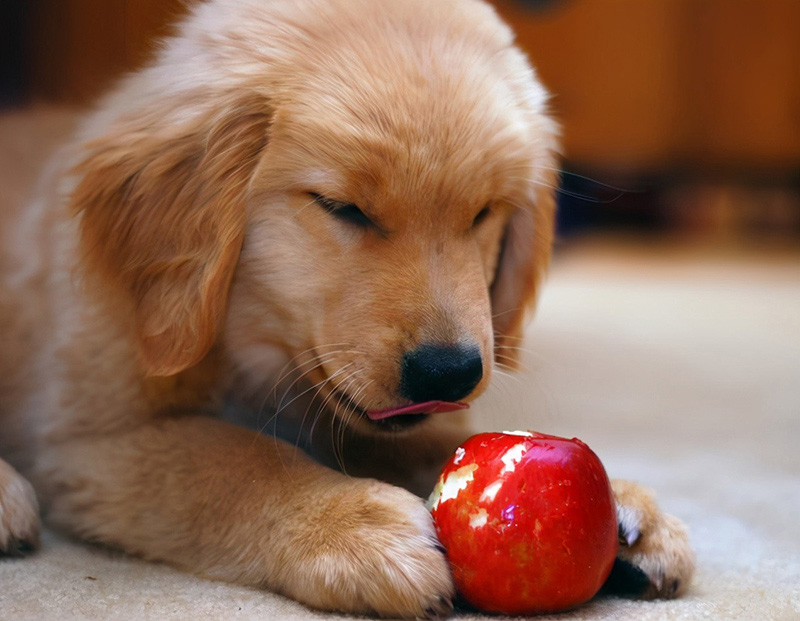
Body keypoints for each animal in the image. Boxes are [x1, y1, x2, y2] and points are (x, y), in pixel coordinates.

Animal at [0, 0, 692, 616]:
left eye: (483, 213)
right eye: (343, 208)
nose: (449, 374)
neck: (247, 345)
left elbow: (438, 439)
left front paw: (624, 504)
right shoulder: (84, 438)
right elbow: (232, 458)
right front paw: (352, 529)